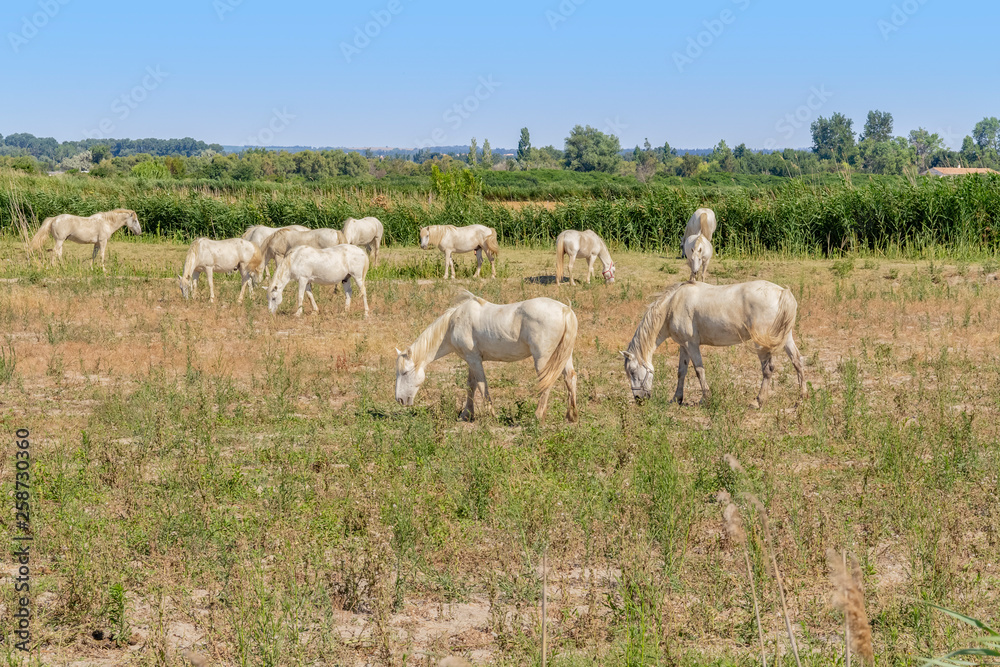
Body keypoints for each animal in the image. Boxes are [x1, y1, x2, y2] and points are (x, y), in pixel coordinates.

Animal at [395, 291, 578, 422]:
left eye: (404, 372)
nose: (400, 400)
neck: (453, 323)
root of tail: (565, 310)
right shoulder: (471, 359)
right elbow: (471, 385)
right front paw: (466, 414)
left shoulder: (475, 360)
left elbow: (482, 386)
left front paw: (491, 415)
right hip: (564, 356)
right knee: (570, 378)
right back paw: (571, 415)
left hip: (542, 359)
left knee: (546, 383)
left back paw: (538, 416)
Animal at [622, 281, 805, 408]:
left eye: (632, 371)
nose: (639, 399)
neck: (672, 306)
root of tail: (782, 292)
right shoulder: (684, 346)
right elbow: (681, 372)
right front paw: (677, 399)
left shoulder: (691, 344)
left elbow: (699, 371)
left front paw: (706, 398)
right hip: (786, 338)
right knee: (797, 362)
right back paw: (801, 398)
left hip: (761, 344)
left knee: (768, 370)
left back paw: (758, 401)